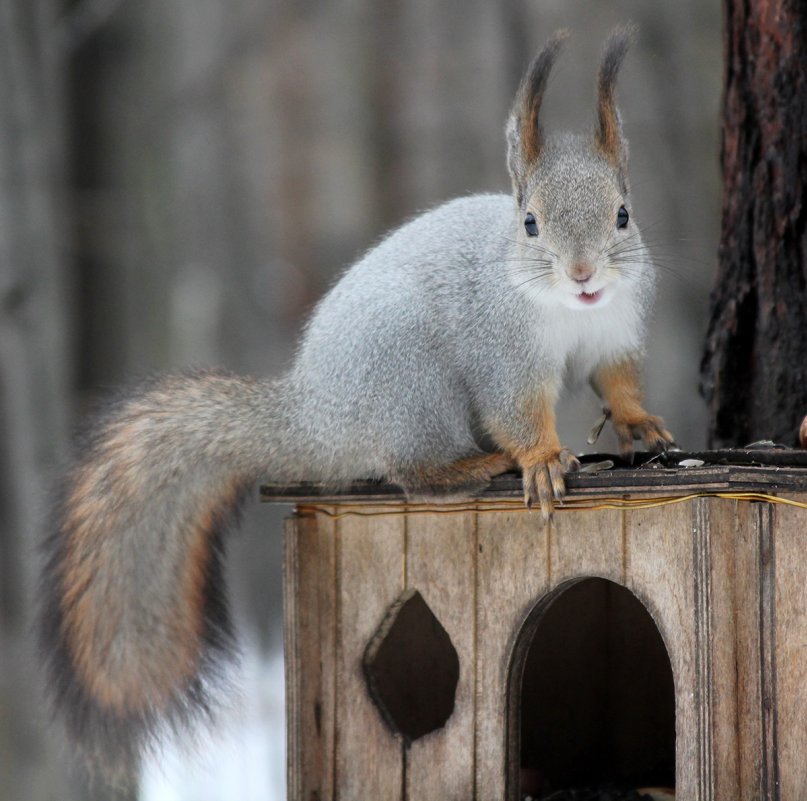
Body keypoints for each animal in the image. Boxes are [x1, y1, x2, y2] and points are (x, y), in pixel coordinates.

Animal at [39, 28, 676, 784]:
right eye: (529, 224)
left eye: (623, 214)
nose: (583, 275)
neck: (573, 315)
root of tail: (317, 416)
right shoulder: (501, 353)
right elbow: (517, 412)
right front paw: (545, 460)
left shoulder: (614, 334)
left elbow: (617, 382)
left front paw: (639, 423)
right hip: (412, 384)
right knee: (410, 472)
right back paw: (470, 465)